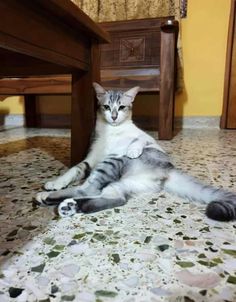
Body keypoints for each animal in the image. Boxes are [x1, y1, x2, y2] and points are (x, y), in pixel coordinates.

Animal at [35, 82, 236, 222]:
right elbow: (74, 170)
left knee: (89, 189)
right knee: (115, 198)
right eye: (106, 107)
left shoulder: (148, 140)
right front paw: (56, 182)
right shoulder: (91, 159)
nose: (114, 116)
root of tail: (168, 171)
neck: (111, 132)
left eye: (121, 107)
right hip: (125, 183)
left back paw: (53, 200)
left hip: (113, 161)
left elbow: (140, 139)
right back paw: (66, 204)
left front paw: (133, 148)